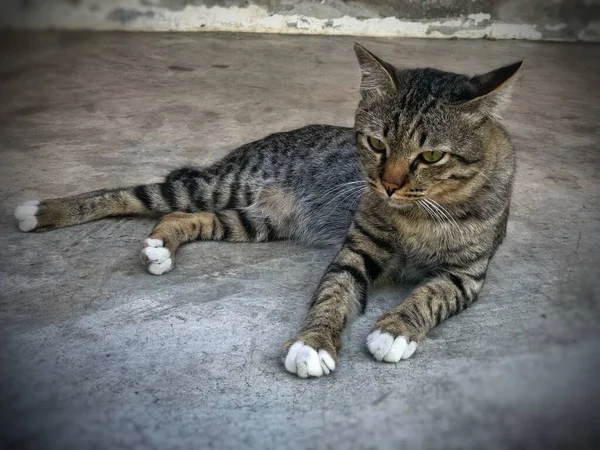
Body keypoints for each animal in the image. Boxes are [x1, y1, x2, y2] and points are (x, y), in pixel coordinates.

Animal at [12, 44, 520, 378]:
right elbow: (333, 293)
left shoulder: (467, 275)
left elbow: (430, 296)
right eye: (376, 144)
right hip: (220, 186)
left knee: (184, 217)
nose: (388, 185)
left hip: (256, 220)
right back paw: (43, 210)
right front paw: (312, 343)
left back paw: (160, 245)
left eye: (431, 156)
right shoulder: (355, 251)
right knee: (137, 194)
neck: (422, 215)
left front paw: (395, 329)